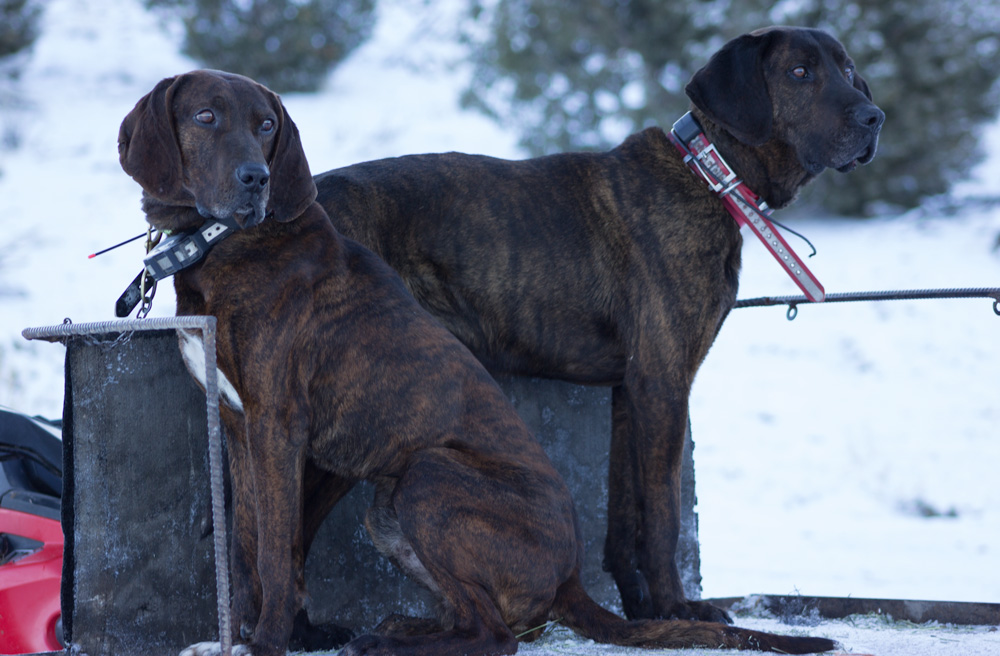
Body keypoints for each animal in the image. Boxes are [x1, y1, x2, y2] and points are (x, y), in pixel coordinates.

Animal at [119, 68, 844, 656]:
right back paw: (397, 631)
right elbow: (244, 547)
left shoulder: (276, 425)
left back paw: (391, 641)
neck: (223, 244)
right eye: (206, 117)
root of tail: (570, 579)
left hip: (426, 476)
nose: (256, 179)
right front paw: (238, 636)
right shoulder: (239, 424)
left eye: (266, 126)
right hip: (387, 502)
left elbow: (271, 548)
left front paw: (264, 643)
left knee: (497, 636)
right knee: (476, 622)